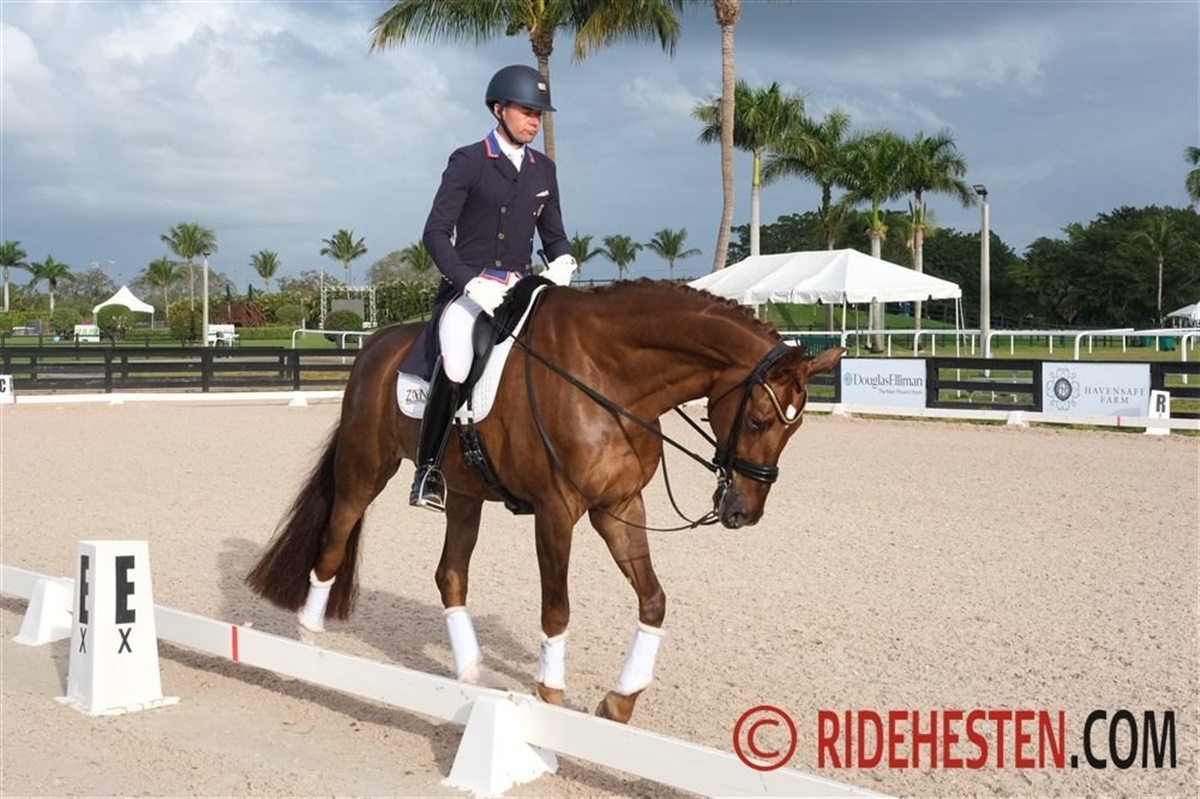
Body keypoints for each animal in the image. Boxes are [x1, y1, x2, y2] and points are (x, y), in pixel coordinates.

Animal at [245, 278, 844, 724]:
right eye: (759, 420)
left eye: (794, 429)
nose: (744, 511)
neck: (610, 375)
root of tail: (374, 345)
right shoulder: (557, 511)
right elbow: (557, 608)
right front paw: (551, 700)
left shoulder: (619, 505)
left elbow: (653, 600)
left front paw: (619, 702)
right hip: (365, 470)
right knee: (332, 543)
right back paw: (308, 651)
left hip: (464, 493)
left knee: (450, 575)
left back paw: (472, 676)